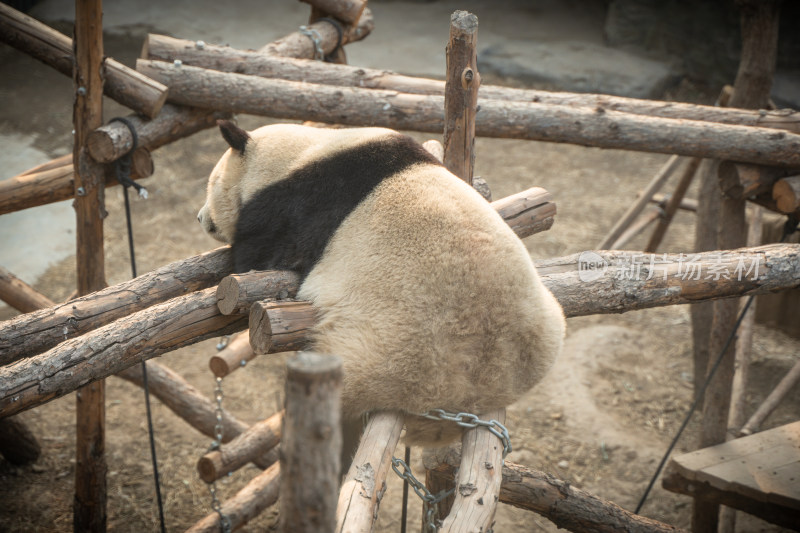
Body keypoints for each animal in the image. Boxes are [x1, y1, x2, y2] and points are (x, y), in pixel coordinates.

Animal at [198, 121, 564, 444]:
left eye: (211, 184)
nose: (200, 218)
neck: (302, 153)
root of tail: (478, 392)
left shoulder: (298, 206)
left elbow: (256, 255)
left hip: (388, 348)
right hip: (544, 320)